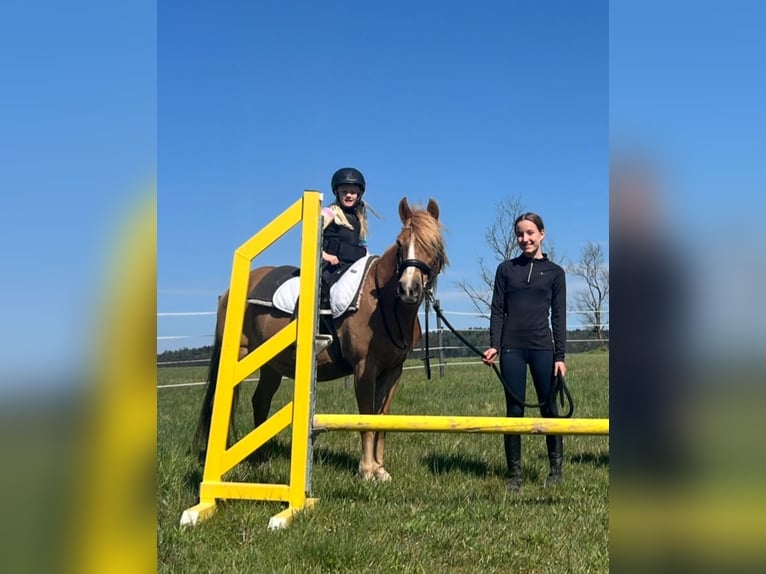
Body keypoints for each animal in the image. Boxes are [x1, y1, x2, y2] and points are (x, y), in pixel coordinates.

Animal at [193, 197, 447, 481]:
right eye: (401, 243)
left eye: (434, 245)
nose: (408, 289)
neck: (382, 304)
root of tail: (229, 293)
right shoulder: (364, 369)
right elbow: (366, 415)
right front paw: (367, 470)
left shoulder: (393, 371)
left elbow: (382, 418)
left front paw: (380, 469)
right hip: (240, 356)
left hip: (272, 366)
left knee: (260, 401)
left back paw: (262, 458)